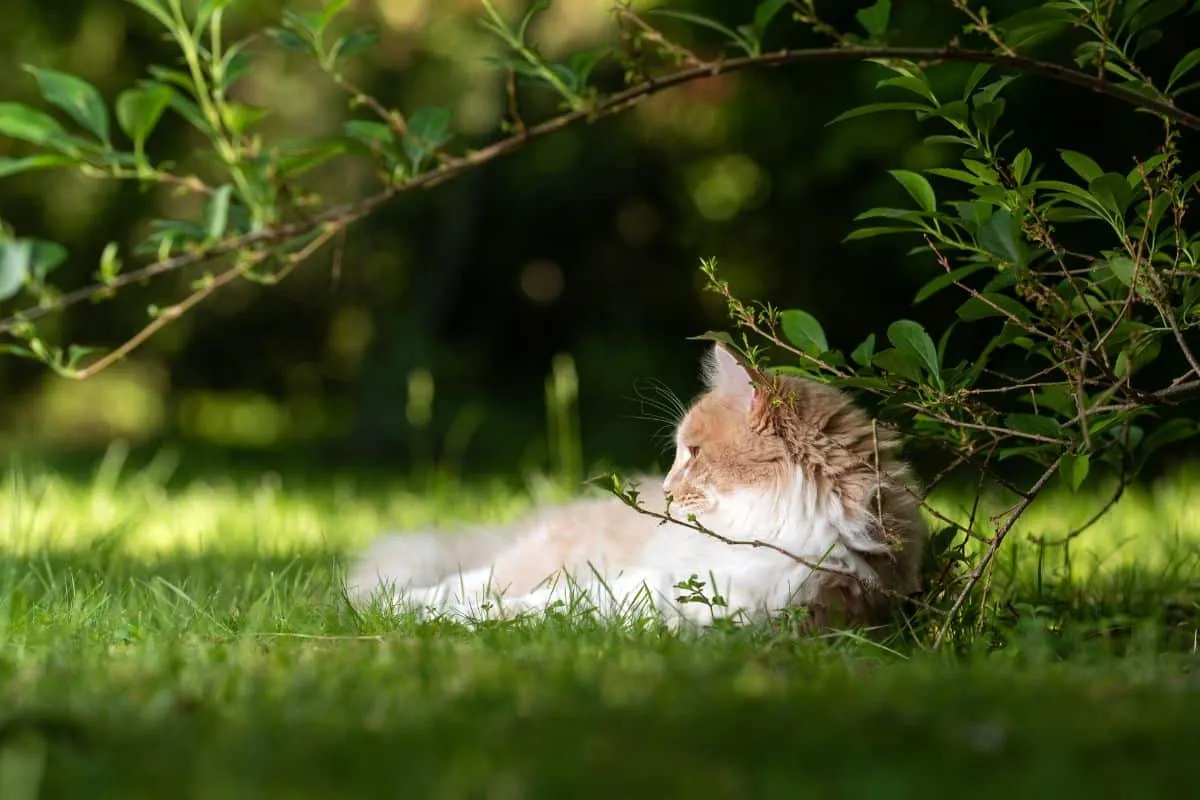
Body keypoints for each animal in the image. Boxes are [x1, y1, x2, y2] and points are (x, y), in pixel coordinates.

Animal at [348, 345, 926, 633]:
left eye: (692, 453)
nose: (667, 490)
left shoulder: (682, 606)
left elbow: (544, 610)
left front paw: (463, 623)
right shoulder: (646, 582)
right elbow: (524, 603)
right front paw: (431, 616)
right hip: (543, 555)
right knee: (464, 580)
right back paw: (383, 602)